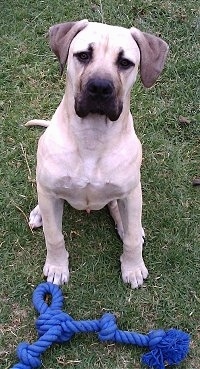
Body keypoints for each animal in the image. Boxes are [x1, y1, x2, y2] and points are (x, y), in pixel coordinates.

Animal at [25, 20, 168, 288]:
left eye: (125, 62)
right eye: (83, 55)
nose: (100, 88)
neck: (92, 136)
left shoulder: (131, 194)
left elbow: (132, 239)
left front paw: (133, 267)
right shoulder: (50, 193)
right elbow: (54, 235)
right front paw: (57, 266)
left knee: (122, 215)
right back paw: (39, 213)